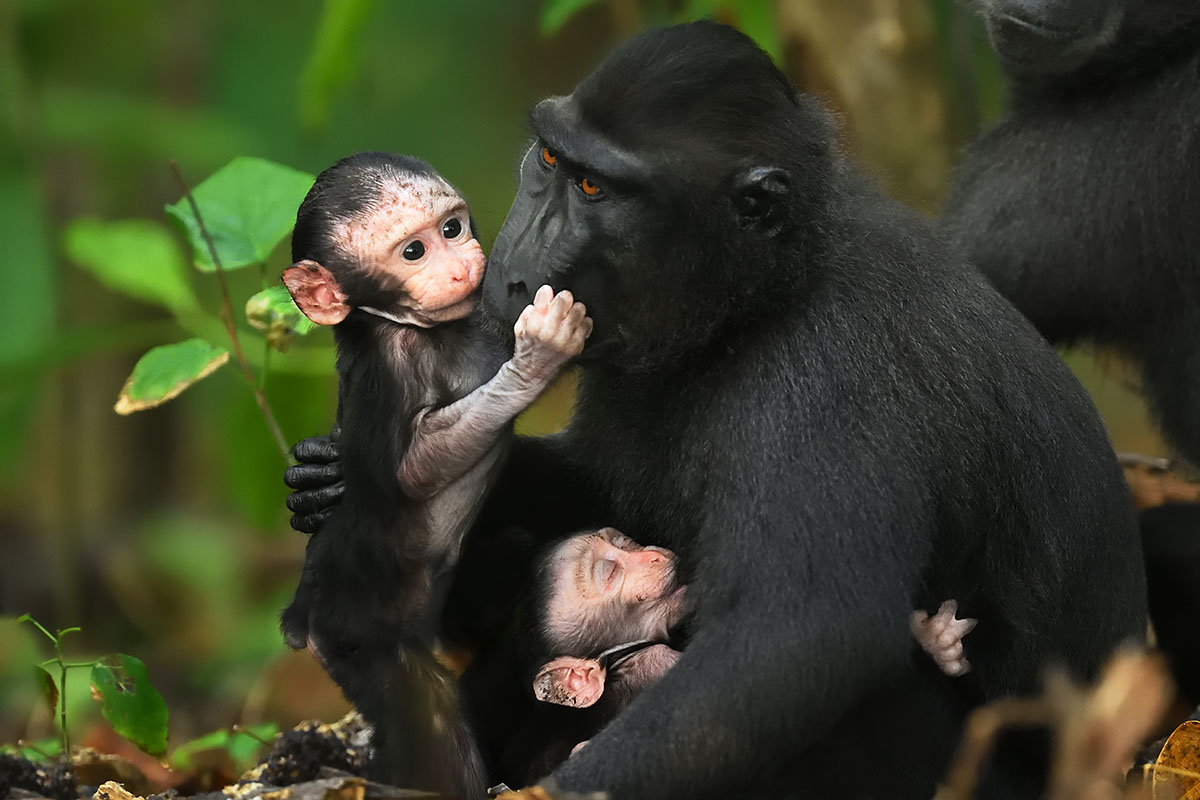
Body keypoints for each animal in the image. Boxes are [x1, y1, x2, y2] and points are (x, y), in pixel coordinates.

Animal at [279, 151, 591, 798]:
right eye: (413, 251)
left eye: (451, 228)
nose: (461, 263)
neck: (428, 329)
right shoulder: (394, 367)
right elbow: (414, 471)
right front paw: (537, 359)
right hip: (359, 639)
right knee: (433, 723)